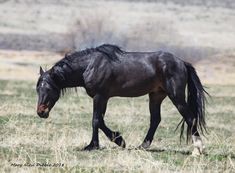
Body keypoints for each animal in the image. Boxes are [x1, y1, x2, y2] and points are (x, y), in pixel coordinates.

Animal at [35, 44, 207, 155]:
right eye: (37, 89)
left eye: (48, 89)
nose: (41, 112)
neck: (90, 65)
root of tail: (182, 62)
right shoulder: (103, 98)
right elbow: (100, 120)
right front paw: (118, 139)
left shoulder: (99, 97)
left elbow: (95, 120)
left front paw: (94, 145)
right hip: (156, 96)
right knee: (155, 120)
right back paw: (142, 146)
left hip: (176, 96)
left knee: (190, 118)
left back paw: (197, 150)